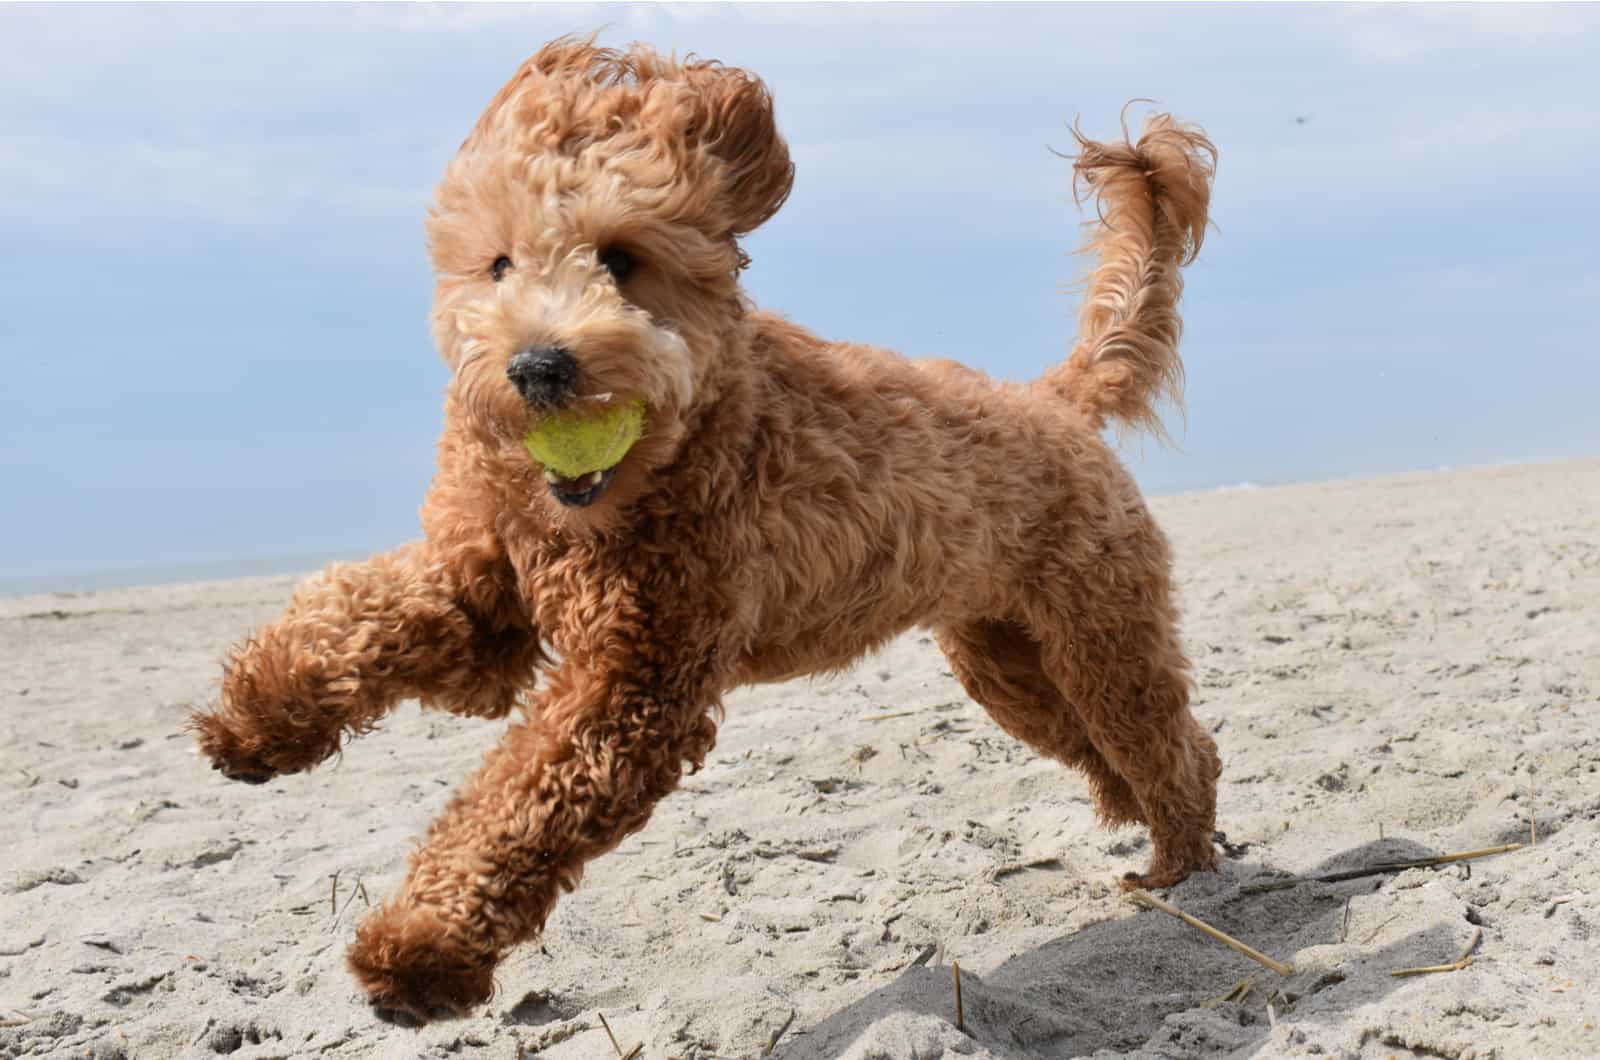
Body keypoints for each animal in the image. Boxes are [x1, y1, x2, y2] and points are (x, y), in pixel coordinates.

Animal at [196, 37, 1222, 1024]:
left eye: (619, 257)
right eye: (498, 264)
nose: (537, 367)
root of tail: (1053, 398)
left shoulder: (636, 683)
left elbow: (516, 808)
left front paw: (418, 952)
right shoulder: (484, 590)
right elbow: (356, 614)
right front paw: (257, 718)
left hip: (1100, 634)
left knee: (1173, 744)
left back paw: (1180, 863)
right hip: (1007, 660)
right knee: (1107, 745)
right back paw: (1143, 828)